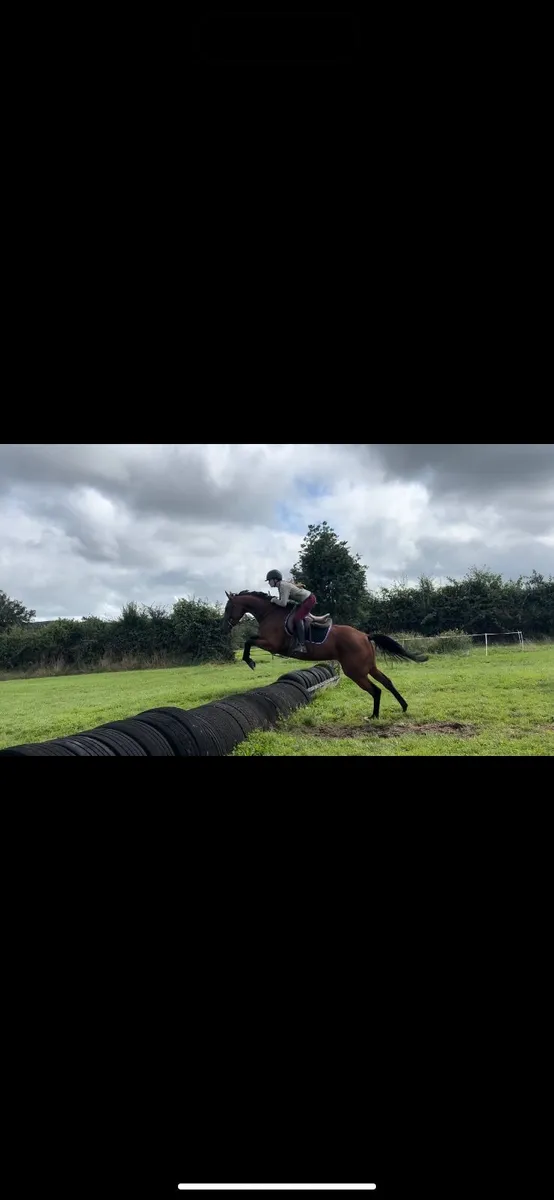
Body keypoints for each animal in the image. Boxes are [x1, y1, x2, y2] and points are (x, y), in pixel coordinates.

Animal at [223, 590, 428, 718]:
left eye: (227, 608)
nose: (225, 626)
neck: (269, 612)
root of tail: (364, 635)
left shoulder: (272, 644)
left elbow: (248, 641)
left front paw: (250, 661)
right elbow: (250, 639)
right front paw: (250, 661)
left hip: (355, 671)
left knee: (375, 689)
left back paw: (374, 716)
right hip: (369, 667)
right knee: (387, 682)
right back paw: (403, 706)